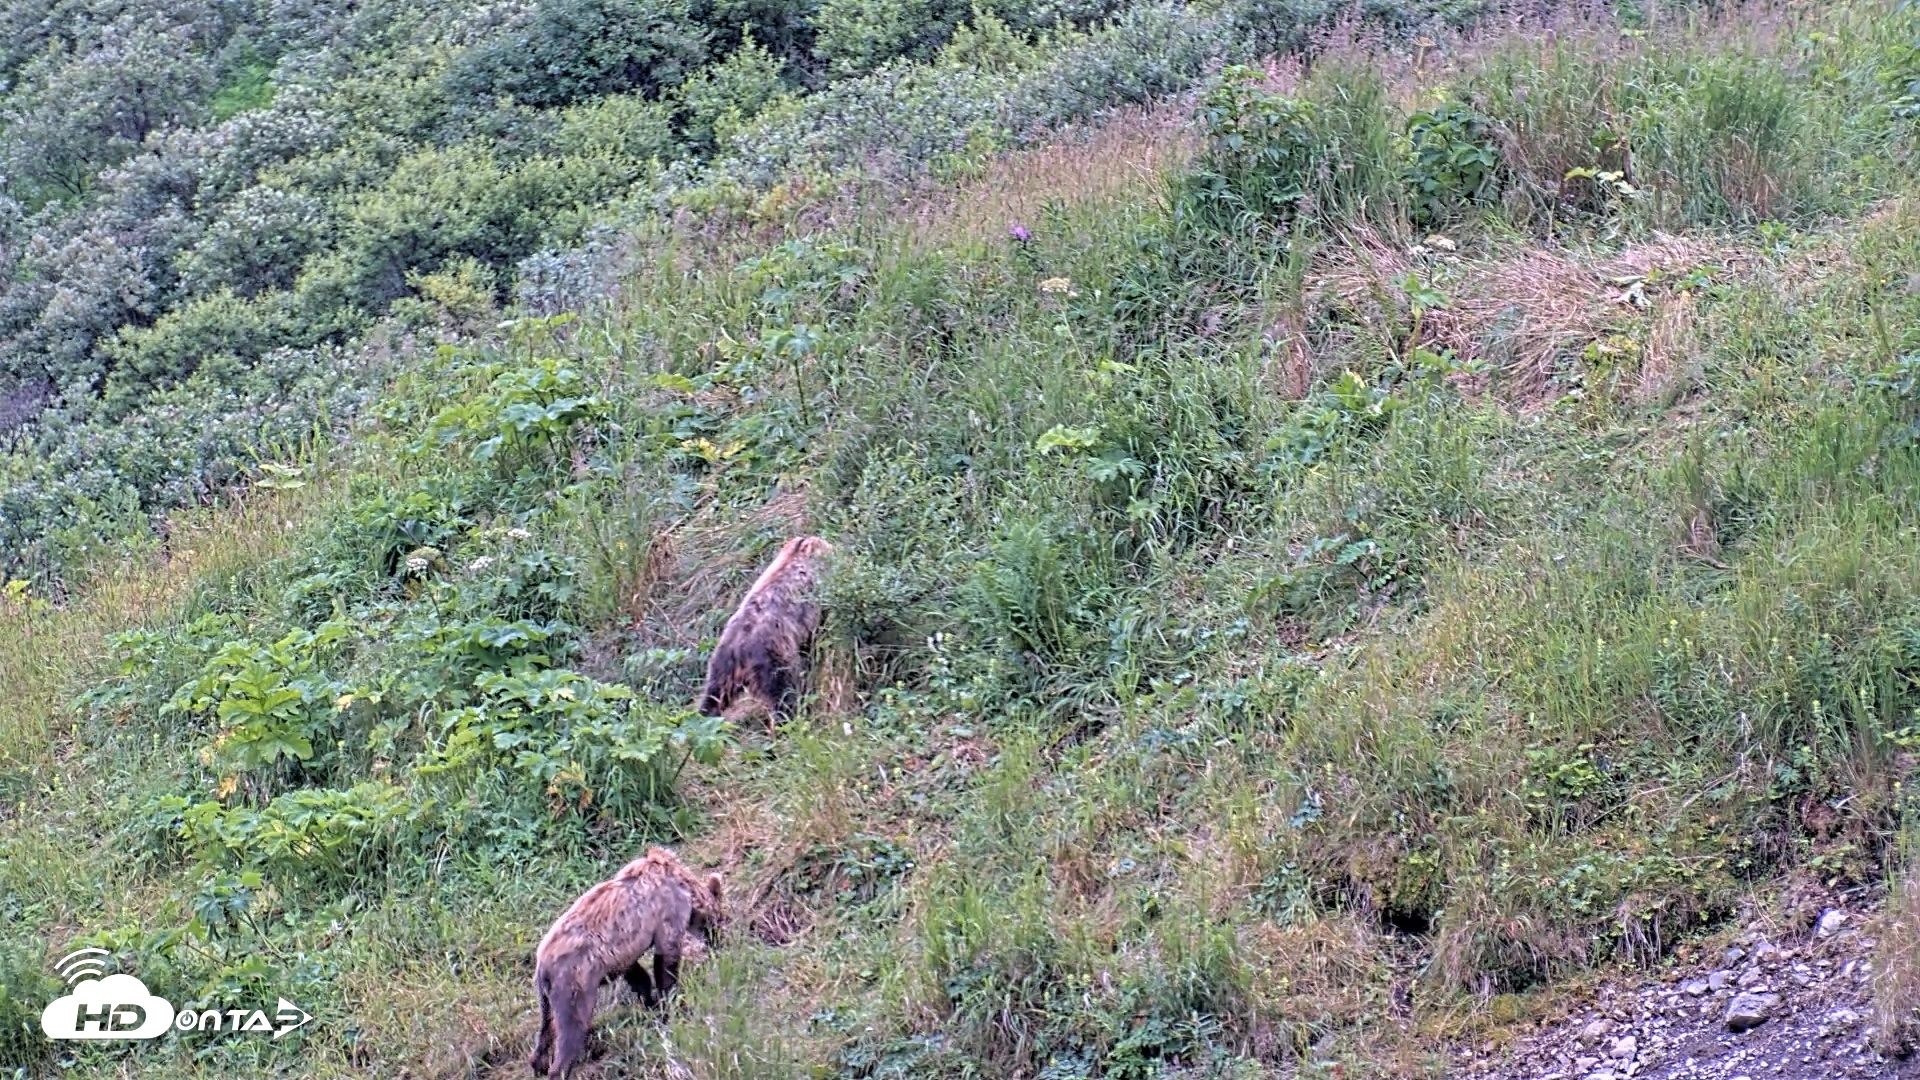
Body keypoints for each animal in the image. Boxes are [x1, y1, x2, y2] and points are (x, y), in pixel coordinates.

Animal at [529, 847, 724, 1079]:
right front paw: (670, 1004)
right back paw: (558, 1067)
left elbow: (638, 975)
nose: (720, 942)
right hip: (573, 985)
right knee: (572, 1029)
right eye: (719, 918)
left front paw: (651, 1003)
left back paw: (538, 1064)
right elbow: (666, 962)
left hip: (547, 996)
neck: (686, 888)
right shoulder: (667, 915)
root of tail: (542, 963)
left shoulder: (620, 956)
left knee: (546, 1027)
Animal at [697, 534, 833, 724]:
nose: (834, 547)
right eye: (824, 543)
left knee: (714, 695)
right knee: (783, 695)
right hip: (774, 662)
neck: (794, 556)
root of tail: (739, 649)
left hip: (721, 667)